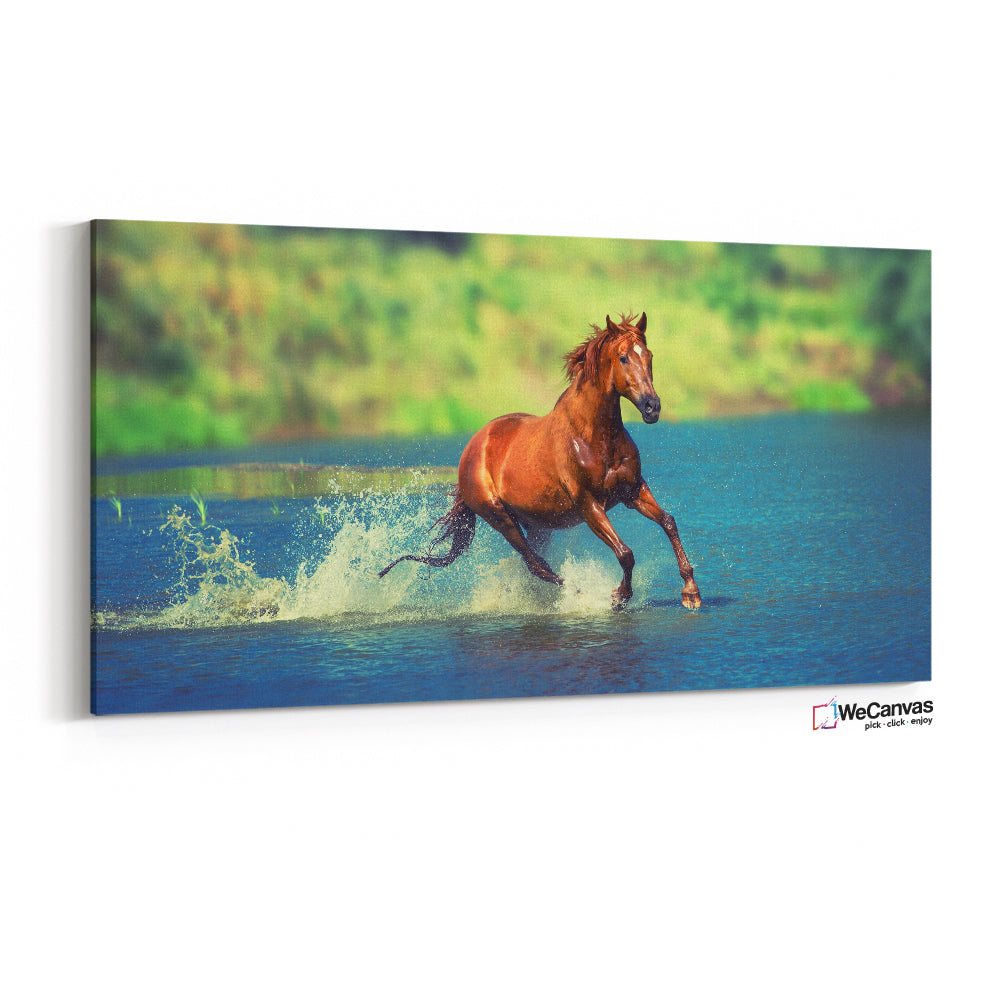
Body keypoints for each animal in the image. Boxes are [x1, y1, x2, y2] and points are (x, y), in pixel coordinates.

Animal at [379, 312, 702, 610]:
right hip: (500, 517)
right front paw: (618, 596)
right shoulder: (589, 505)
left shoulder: (632, 491)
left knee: (535, 562)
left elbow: (669, 522)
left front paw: (691, 592)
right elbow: (625, 553)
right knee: (536, 564)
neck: (593, 436)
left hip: (536, 523)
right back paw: (578, 593)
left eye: (649, 356)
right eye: (623, 358)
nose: (652, 407)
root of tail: (471, 451)